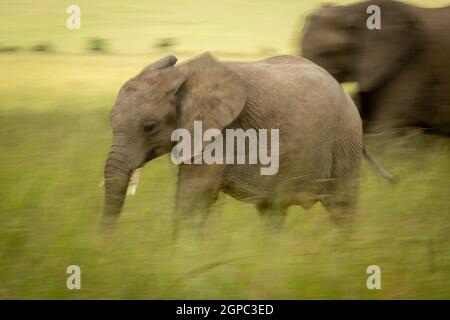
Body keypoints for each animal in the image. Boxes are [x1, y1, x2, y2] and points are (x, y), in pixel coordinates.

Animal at [103, 52, 388, 232]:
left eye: (149, 127)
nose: (106, 251)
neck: (181, 75)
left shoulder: (220, 133)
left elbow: (192, 195)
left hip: (344, 141)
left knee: (342, 208)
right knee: (273, 211)